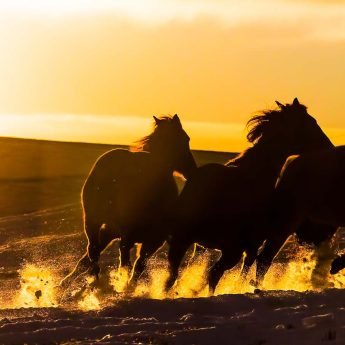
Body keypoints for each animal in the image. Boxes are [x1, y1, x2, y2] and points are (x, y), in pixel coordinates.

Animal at [59, 114, 196, 288]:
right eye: (186, 139)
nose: (192, 170)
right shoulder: (141, 239)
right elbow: (131, 266)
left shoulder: (140, 239)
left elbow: (135, 266)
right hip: (101, 225)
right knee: (99, 254)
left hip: (104, 228)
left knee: (92, 253)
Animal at [165, 97, 334, 292]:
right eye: (312, 122)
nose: (329, 146)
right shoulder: (265, 238)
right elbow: (258, 265)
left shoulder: (253, 243)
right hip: (226, 248)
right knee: (213, 274)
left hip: (188, 242)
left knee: (176, 276)